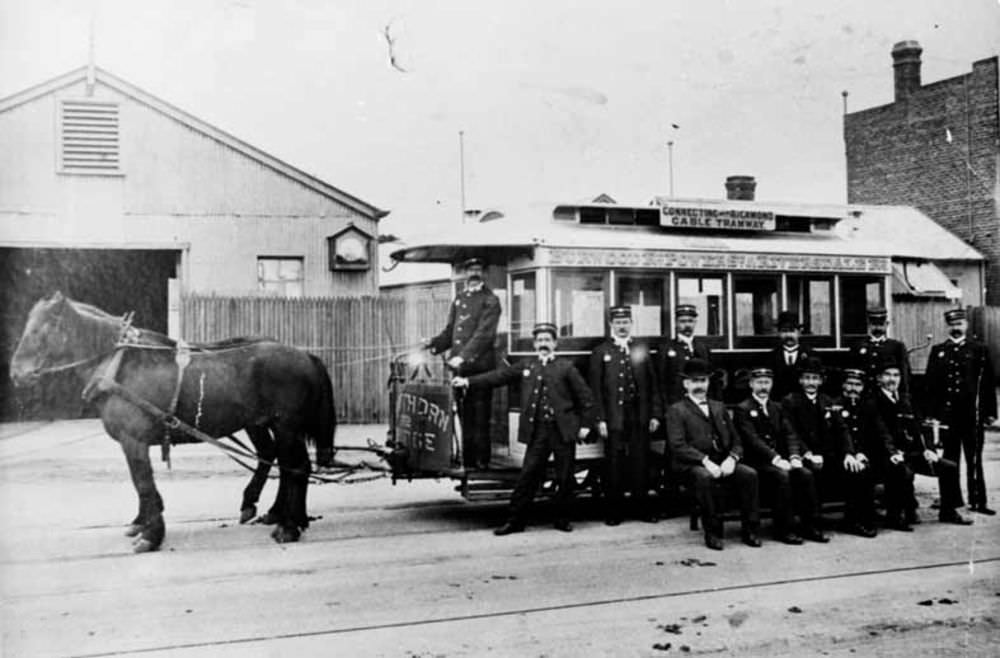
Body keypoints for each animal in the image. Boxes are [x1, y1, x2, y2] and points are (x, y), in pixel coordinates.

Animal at [7, 290, 338, 552]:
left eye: (40, 330)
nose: (17, 373)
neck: (119, 365)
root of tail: (305, 356)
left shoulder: (134, 441)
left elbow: (142, 482)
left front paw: (151, 535)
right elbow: (143, 486)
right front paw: (142, 523)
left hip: (286, 426)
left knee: (297, 467)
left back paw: (289, 526)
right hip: (264, 423)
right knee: (280, 461)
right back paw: (280, 514)